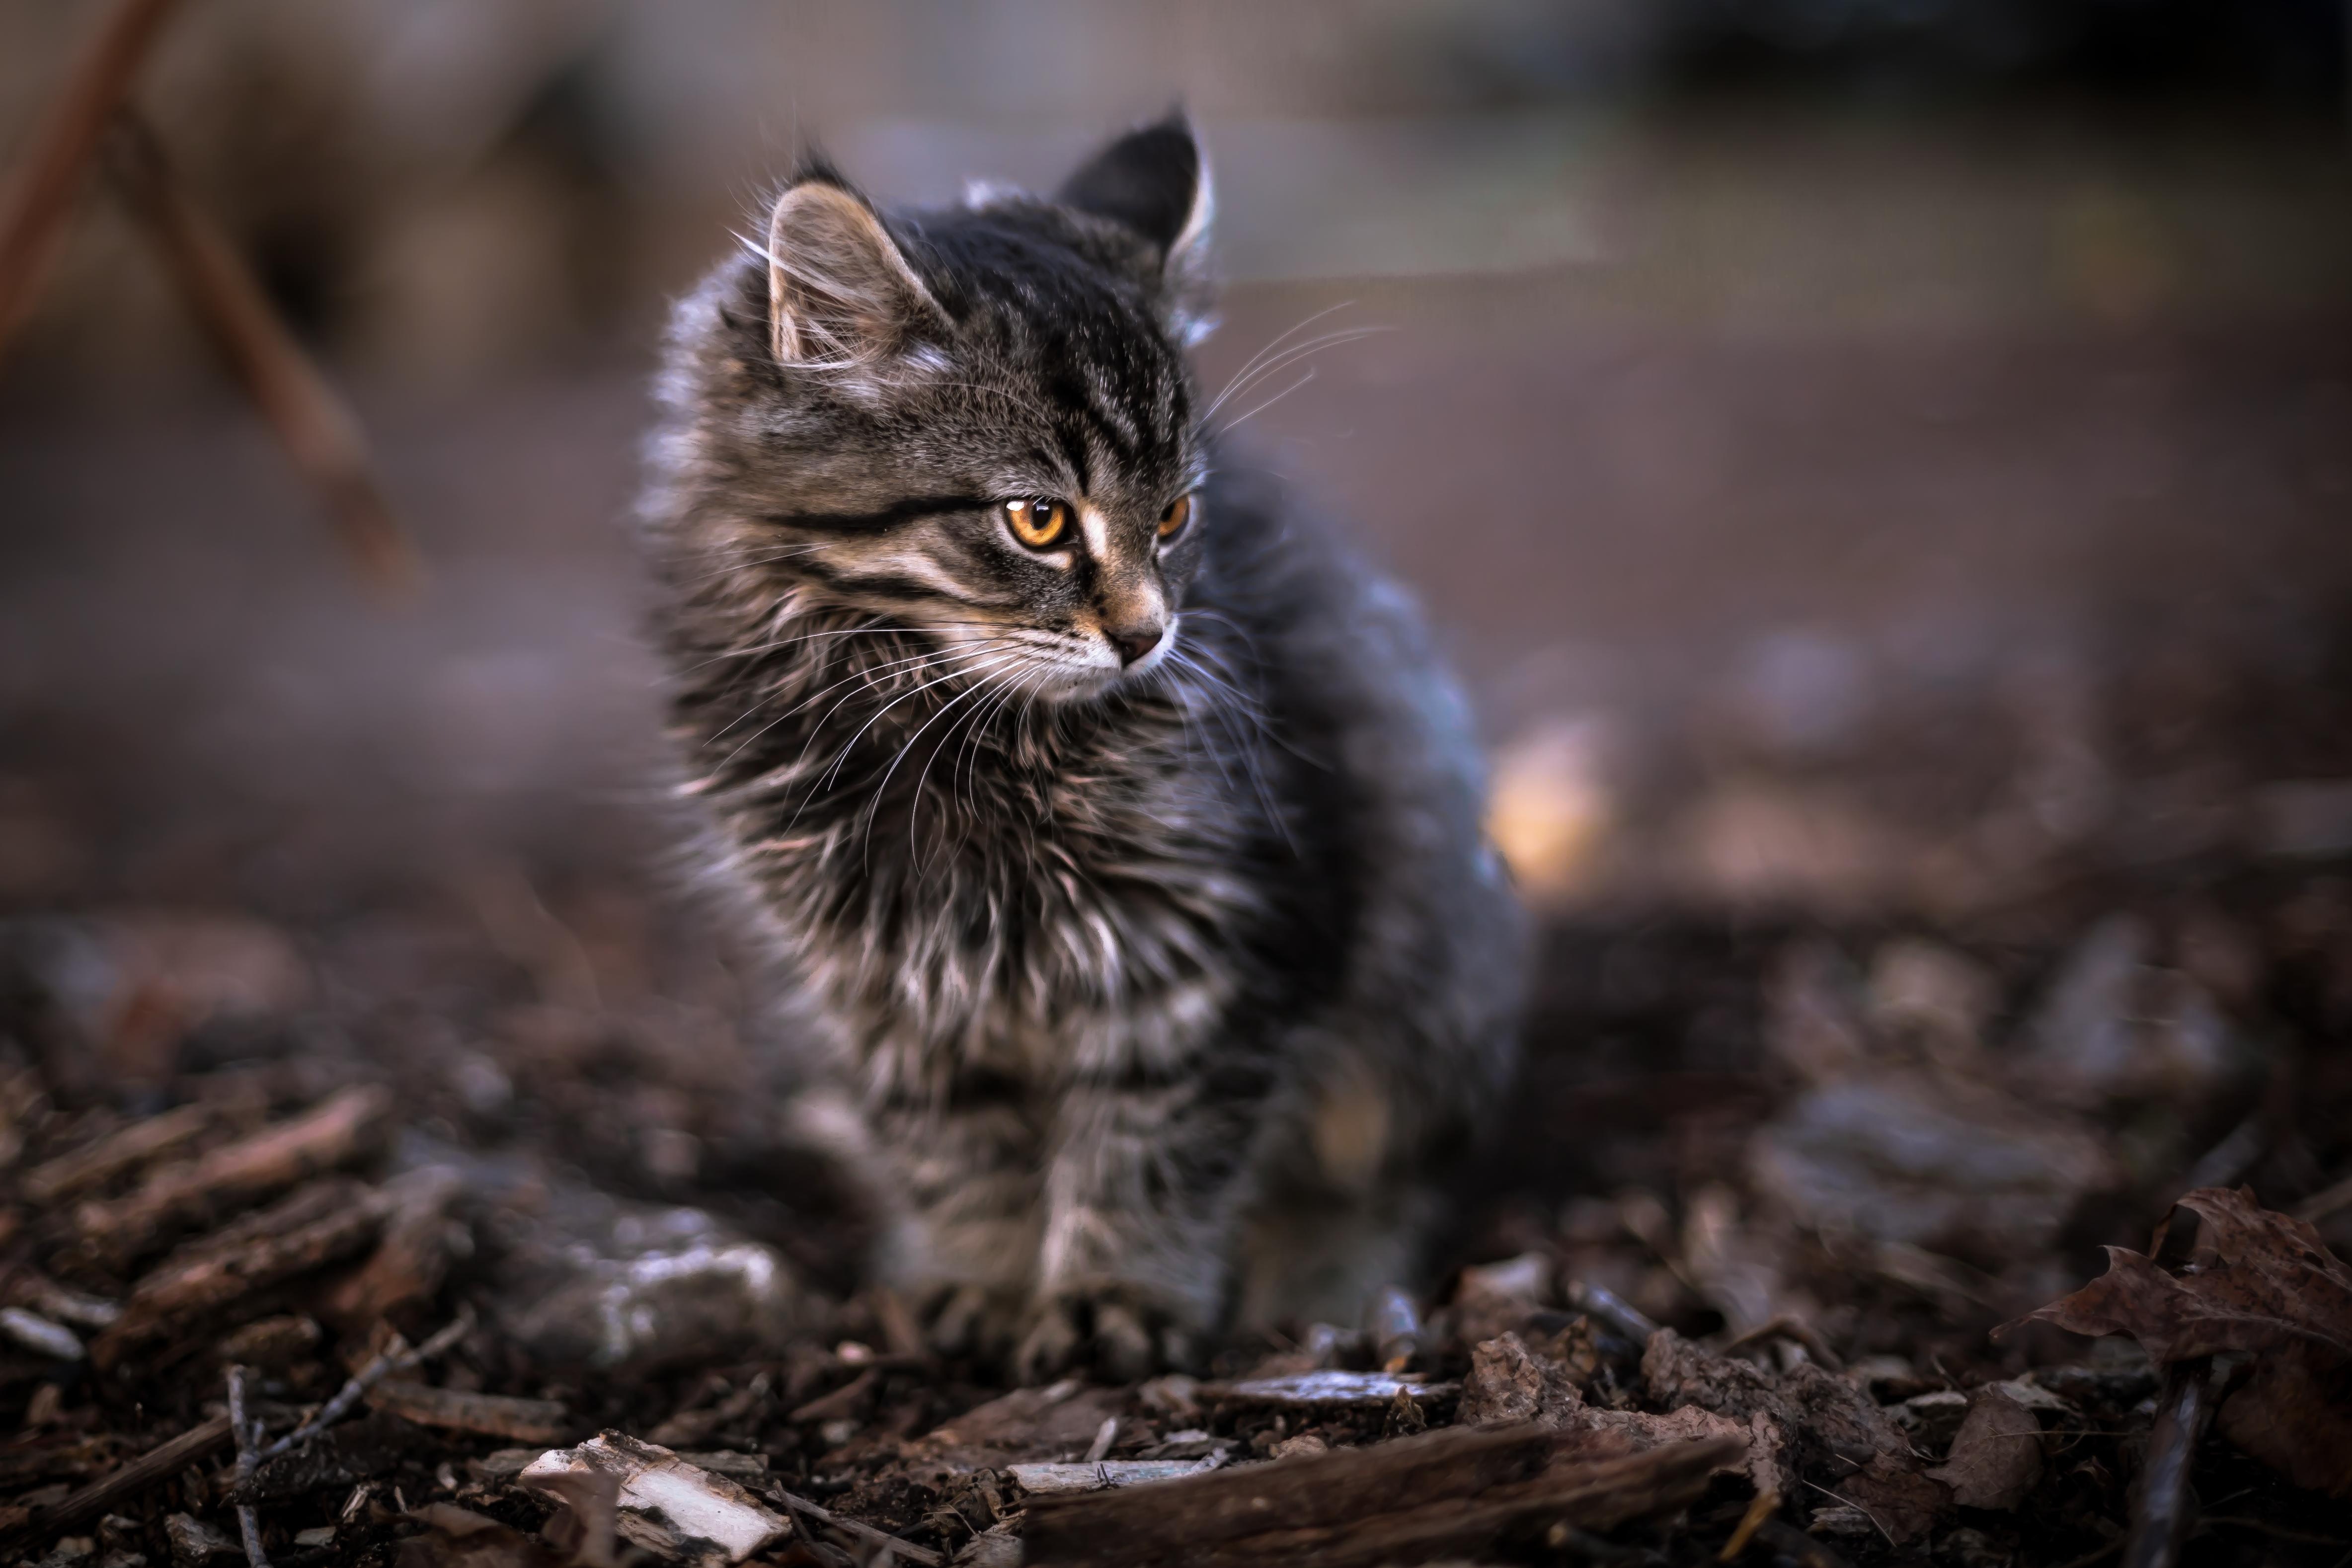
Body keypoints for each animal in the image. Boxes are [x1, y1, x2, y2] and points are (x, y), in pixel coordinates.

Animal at [639, 113, 1524, 1382]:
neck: (946, 730)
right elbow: (957, 1156)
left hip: (1436, 991)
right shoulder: (886, 986)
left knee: (1384, 1180)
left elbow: (1150, 1148)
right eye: (1040, 520)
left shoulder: (1206, 947)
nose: (1149, 635)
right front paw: (982, 1281)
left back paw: (1321, 1283)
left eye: (1174, 517)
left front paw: (1114, 1295)